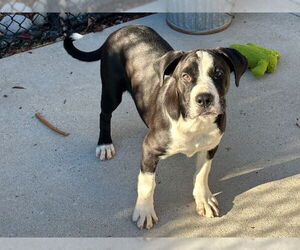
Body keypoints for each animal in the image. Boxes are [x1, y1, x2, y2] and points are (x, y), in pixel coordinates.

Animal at [63, 24, 248, 229]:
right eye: (185, 76)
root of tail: (122, 28)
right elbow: (146, 183)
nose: (204, 98)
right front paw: (144, 211)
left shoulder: (211, 145)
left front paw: (204, 199)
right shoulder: (149, 150)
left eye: (219, 74)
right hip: (112, 90)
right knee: (104, 115)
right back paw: (104, 144)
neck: (193, 122)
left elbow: (202, 173)